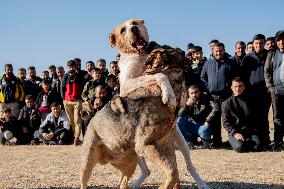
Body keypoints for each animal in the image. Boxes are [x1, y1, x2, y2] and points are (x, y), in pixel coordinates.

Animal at [80, 19, 211, 189]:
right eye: (123, 30)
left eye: (135, 22)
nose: (134, 29)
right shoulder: (129, 84)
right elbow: (159, 76)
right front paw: (168, 95)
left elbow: (174, 171)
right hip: (91, 163)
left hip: (153, 152)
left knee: (184, 165)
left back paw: (201, 183)